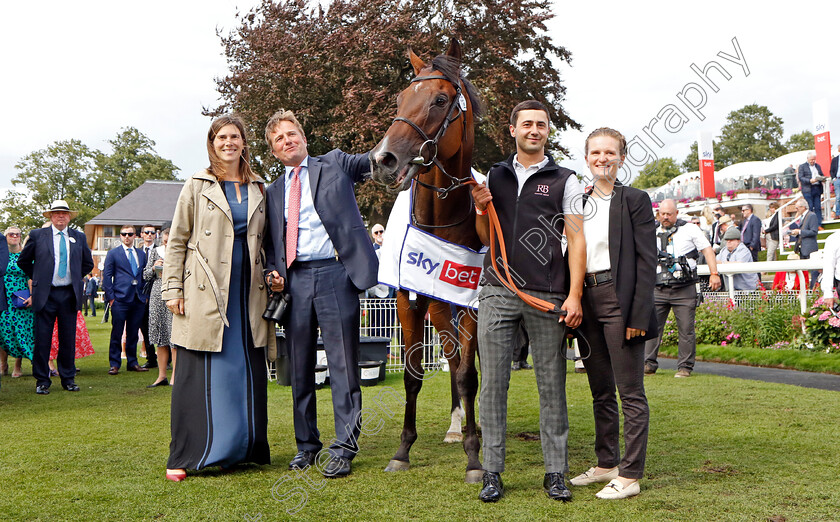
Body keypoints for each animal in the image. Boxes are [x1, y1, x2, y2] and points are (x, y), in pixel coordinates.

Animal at [370, 38, 482, 482]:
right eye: (401, 98)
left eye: (439, 99)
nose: (382, 159)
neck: (441, 218)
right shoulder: (408, 300)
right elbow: (414, 374)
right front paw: (402, 450)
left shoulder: (469, 302)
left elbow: (468, 375)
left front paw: (475, 456)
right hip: (437, 305)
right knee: (449, 355)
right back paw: (456, 425)